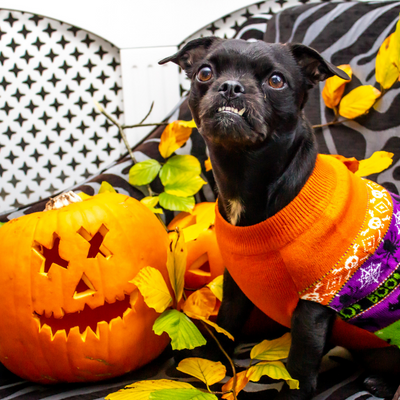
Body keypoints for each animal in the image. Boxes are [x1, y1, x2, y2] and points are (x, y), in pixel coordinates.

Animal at [159, 36, 400, 396]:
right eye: (205, 72)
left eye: (276, 81)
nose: (231, 86)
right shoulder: (235, 290)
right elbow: (226, 326)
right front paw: (210, 364)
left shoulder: (313, 306)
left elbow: (299, 366)